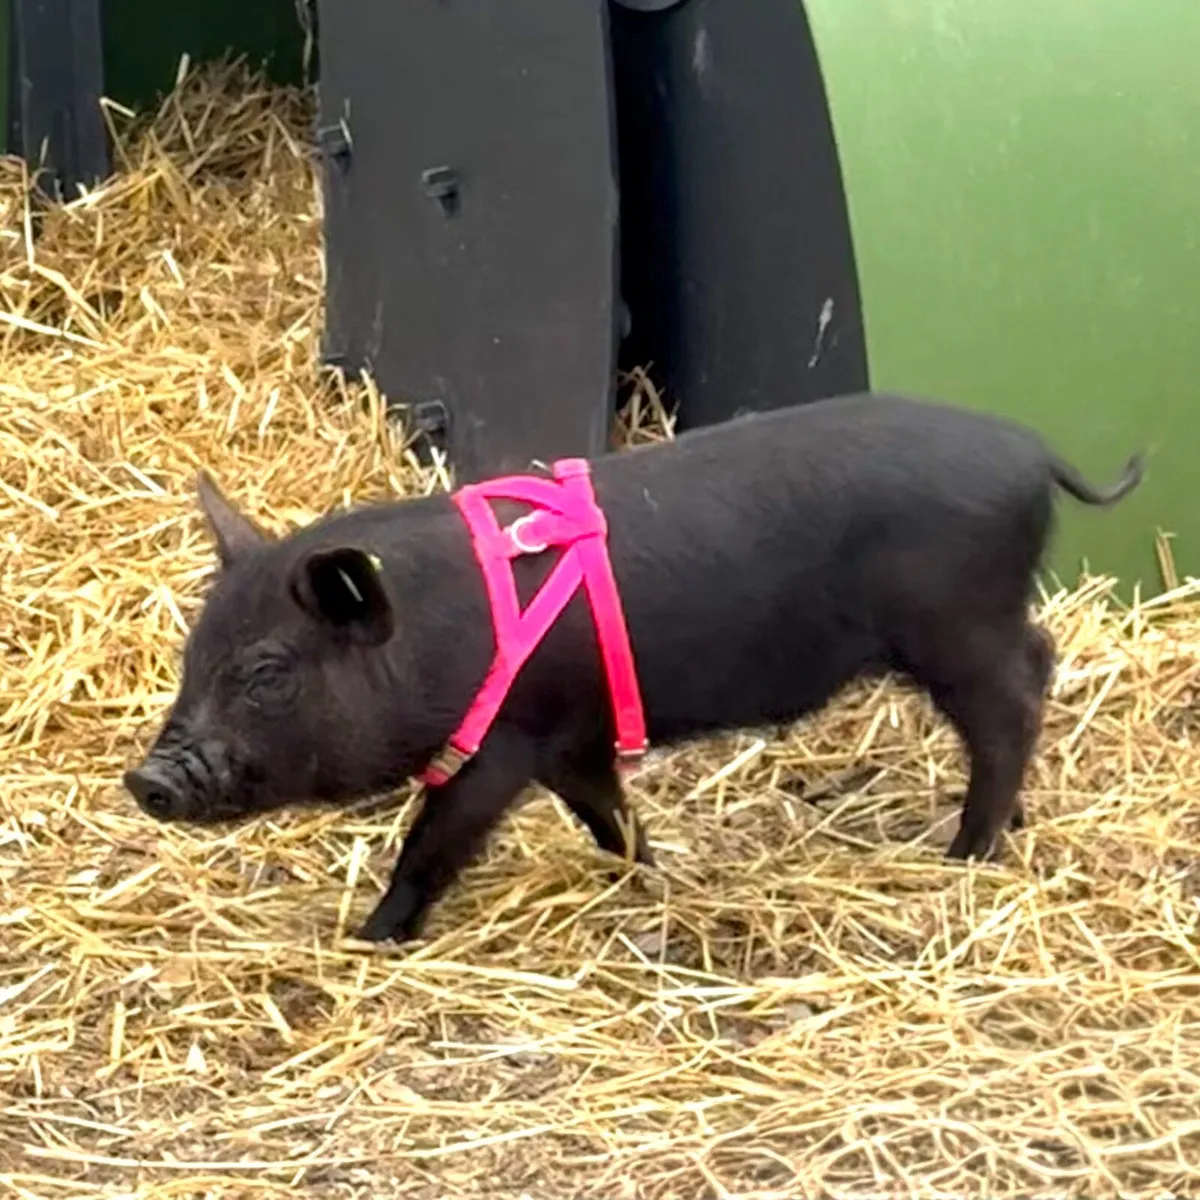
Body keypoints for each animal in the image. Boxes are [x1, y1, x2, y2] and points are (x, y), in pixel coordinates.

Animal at [123, 392, 1145, 945]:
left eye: (266, 672)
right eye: (191, 656)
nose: (147, 778)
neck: (432, 637)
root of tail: (1034, 452)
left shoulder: (503, 741)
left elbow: (433, 843)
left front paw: (370, 940)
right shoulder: (569, 738)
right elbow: (605, 812)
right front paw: (648, 872)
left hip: (955, 625)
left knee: (1014, 699)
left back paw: (965, 852)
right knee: (1038, 664)